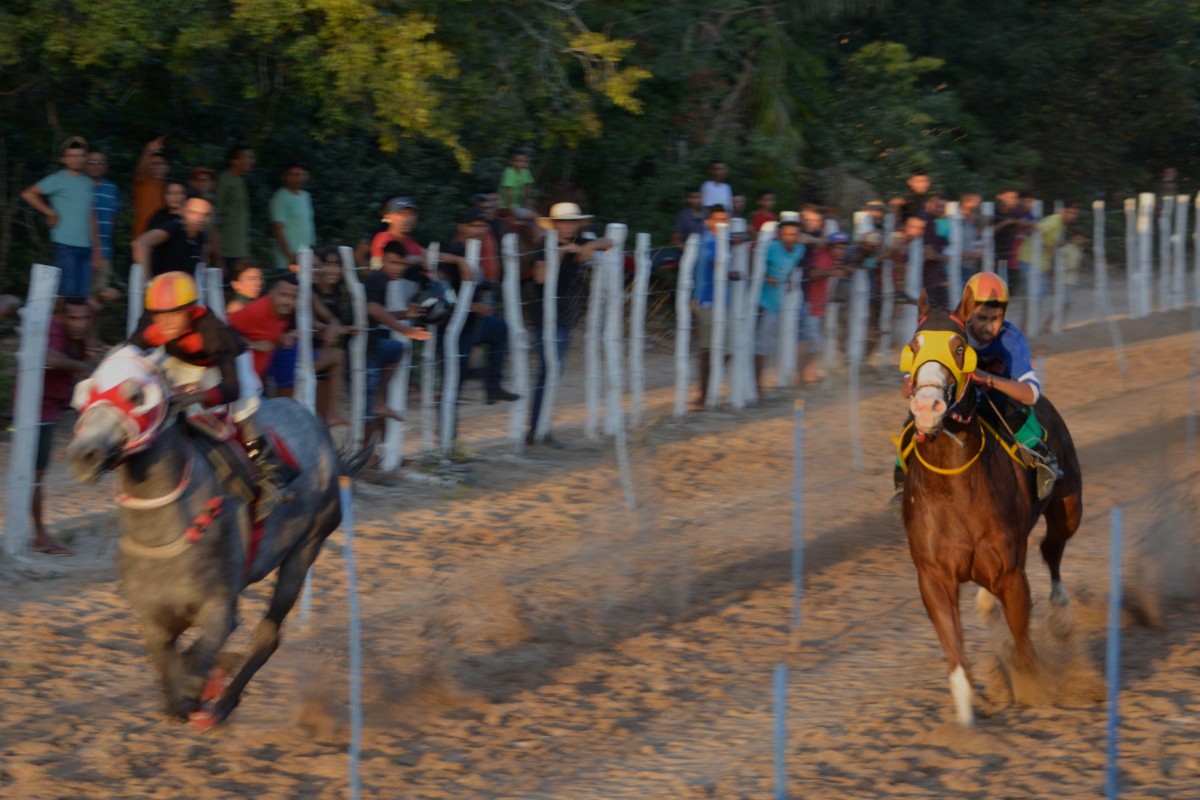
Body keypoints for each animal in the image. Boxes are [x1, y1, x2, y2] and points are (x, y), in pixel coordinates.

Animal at [65, 347, 360, 729]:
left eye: (135, 396)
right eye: (86, 392)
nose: (83, 455)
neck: (165, 533)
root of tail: (317, 429)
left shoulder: (219, 607)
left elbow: (199, 665)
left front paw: (203, 688)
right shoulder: (153, 617)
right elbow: (172, 678)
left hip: (306, 547)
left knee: (268, 634)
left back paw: (222, 705)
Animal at [902, 292, 1089, 724]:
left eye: (959, 348)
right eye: (914, 345)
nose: (927, 405)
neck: (954, 491)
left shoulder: (1011, 574)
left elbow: (1024, 648)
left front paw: (1033, 691)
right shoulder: (933, 577)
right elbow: (956, 660)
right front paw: (965, 727)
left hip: (1069, 506)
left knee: (1052, 549)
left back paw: (1060, 612)